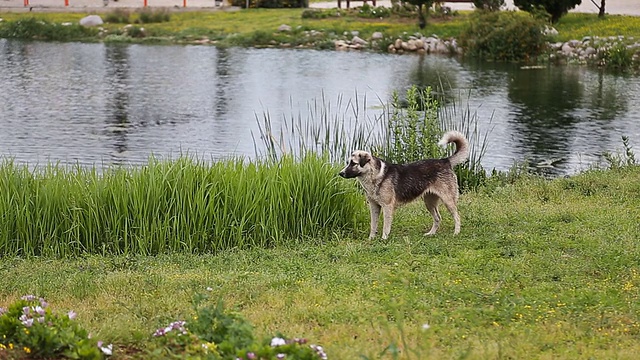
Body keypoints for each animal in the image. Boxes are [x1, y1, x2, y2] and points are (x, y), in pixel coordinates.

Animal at [340, 131, 470, 240]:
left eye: (353, 163)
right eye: (347, 163)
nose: (340, 173)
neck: (374, 176)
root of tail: (445, 161)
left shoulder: (387, 206)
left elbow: (385, 226)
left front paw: (384, 239)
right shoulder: (374, 206)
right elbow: (373, 225)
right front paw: (371, 239)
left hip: (448, 200)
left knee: (457, 216)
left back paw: (456, 233)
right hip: (429, 202)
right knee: (438, 218)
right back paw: (431, 234)